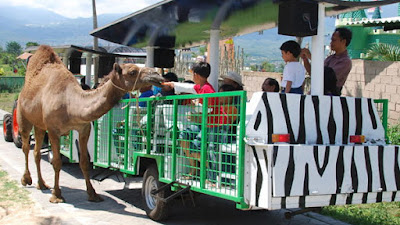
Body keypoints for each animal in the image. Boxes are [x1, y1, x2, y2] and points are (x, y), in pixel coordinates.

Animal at [16, 44, 164, 203]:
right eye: (132, 72)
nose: (157, 75)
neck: (70, 103)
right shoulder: (54, 130)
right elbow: (56, 162)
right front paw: (56, 195)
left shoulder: (83, 128)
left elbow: (85, 162)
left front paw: (93, 194)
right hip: (23, 116)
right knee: (26, 146)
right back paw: (26, 180)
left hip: (39, 124)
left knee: (36, 152)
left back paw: (42, 184)